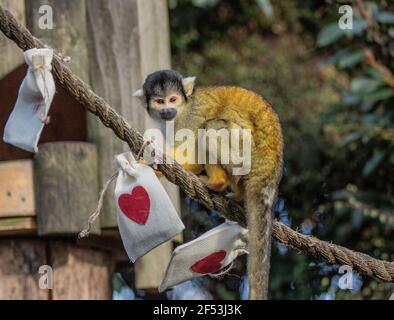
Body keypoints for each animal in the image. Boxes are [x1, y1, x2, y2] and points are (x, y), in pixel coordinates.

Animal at [132, 69, 284, 298]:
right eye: (160, 101)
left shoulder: (191, 115)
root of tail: (270, 165)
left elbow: (192, 149)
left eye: (173, 99)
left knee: (210, 127)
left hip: (245, 154)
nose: (167, 110)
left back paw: (218, 182)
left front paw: (152, 163)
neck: (183, 108)